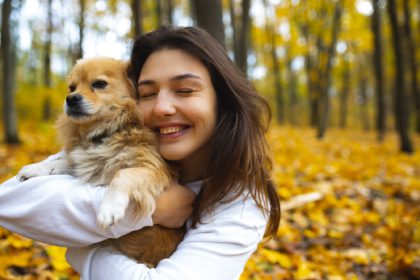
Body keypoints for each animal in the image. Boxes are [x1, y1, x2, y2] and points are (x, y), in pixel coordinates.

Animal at [17, 57, 185, 266]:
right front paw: (37, 168)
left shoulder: (155, 168)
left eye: (99, 84)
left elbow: (123, 174)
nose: (70, 98)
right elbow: (66, 161)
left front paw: (109, 207)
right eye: (71, 88)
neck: (105, 133)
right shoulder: (87, 162)